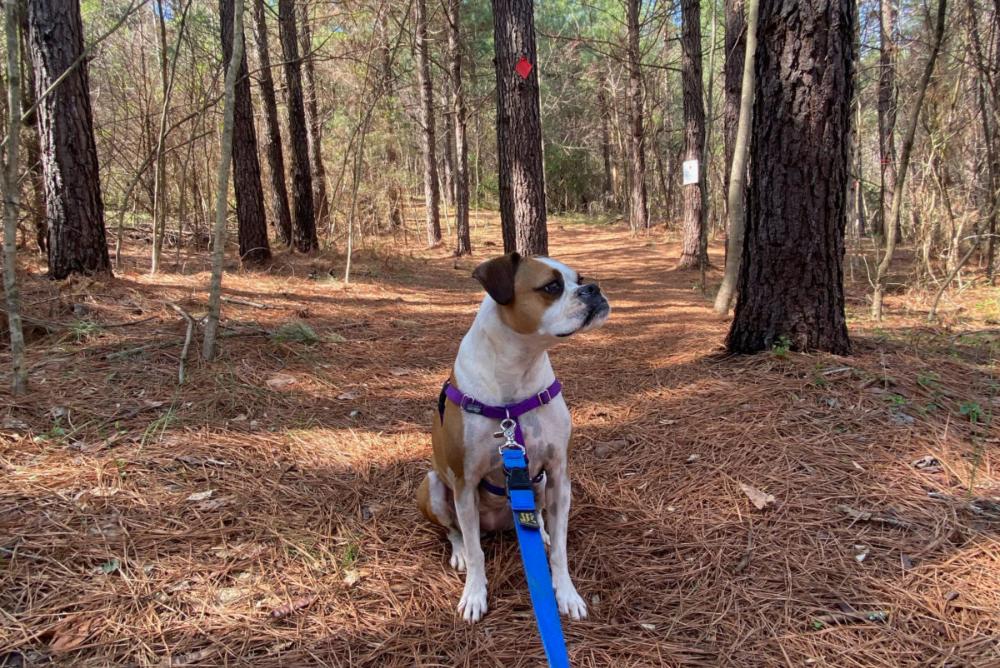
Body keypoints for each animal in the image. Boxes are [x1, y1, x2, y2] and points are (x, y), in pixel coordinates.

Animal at [416, 253, 608, 624]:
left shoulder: (559, 475)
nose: (594, 288)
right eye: (551, 287)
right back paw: (460, 551)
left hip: (540, 482)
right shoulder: (464, 483)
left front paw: (566, 592)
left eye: (579, 279)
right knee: (456, 532)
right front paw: (475, 594)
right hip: (433, 486)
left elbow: (560, 549)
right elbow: (476, 552)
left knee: (539, 517)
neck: (517, 371)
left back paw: (542, 532)